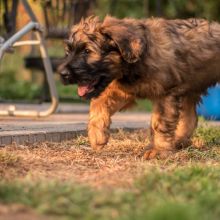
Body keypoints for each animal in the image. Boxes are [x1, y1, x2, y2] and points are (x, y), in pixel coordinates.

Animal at [58, 15, 220, 159]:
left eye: (87, 51)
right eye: (68, 52)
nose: (62, 73)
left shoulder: (165, 94)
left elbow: (159, 123)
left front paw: (157, 151)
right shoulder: (124, 88)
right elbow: (98, 102)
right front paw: (97, 135)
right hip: (189, 89)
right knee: (190, 118)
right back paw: (178, 141)